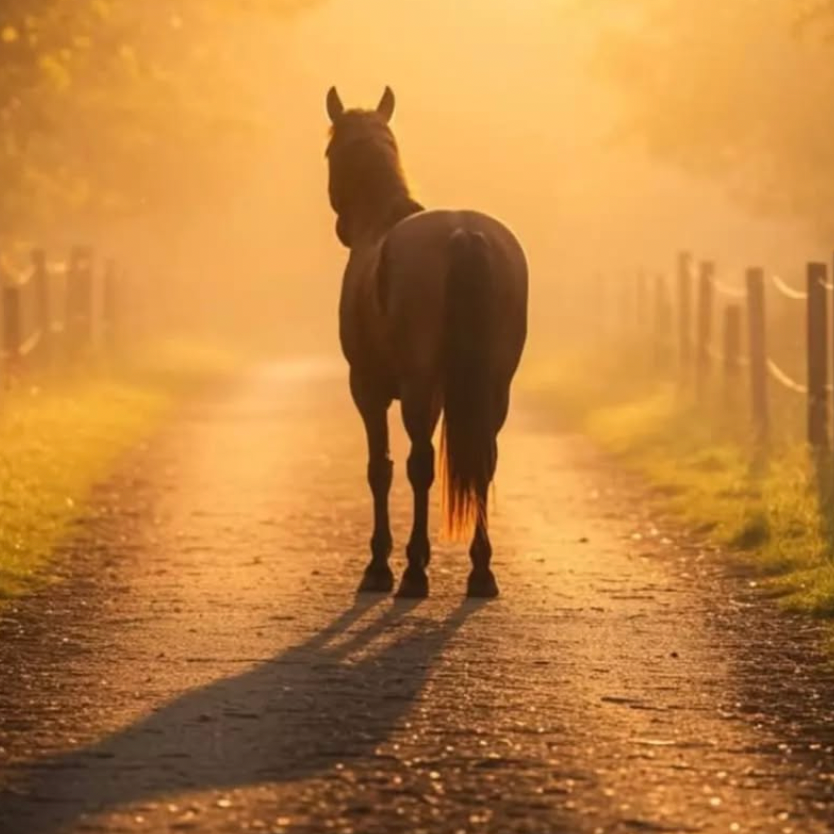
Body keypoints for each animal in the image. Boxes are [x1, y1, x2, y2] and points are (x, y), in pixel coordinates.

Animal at [325, 86, 528, 599]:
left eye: (330, 151)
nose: (342, 229)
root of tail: (464, 232)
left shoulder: (368, 389)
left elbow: (381, 468)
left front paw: (379, 565)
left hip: (418, 389)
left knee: (421, 463)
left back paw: (415, 572)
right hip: (494, 388)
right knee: (485, 459)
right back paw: (481, 573)